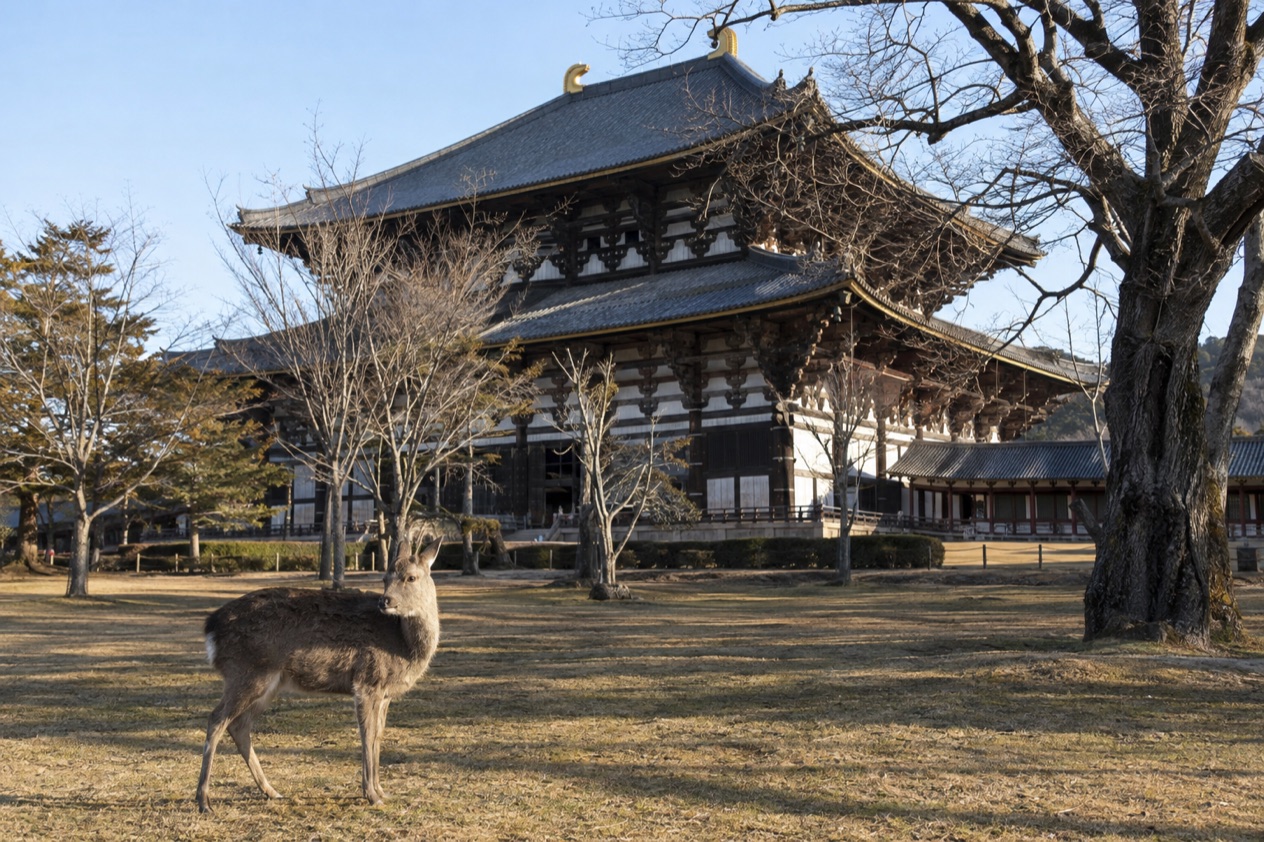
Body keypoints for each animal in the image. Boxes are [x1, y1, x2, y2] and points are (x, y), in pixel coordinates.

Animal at [195, 538, 441, 812]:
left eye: (411, 577)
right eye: (385, 578)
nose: (385, 601)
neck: (403, 645)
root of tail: (211, 627)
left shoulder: (385, 693)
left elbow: (378, 735)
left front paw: (381, 791)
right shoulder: (367, 681)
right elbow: (367, 736)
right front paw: (371, 795)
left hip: (267, 683)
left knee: (239, 725)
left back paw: (272, 791)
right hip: (246, 672)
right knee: (216, 719)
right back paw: (204, 800)